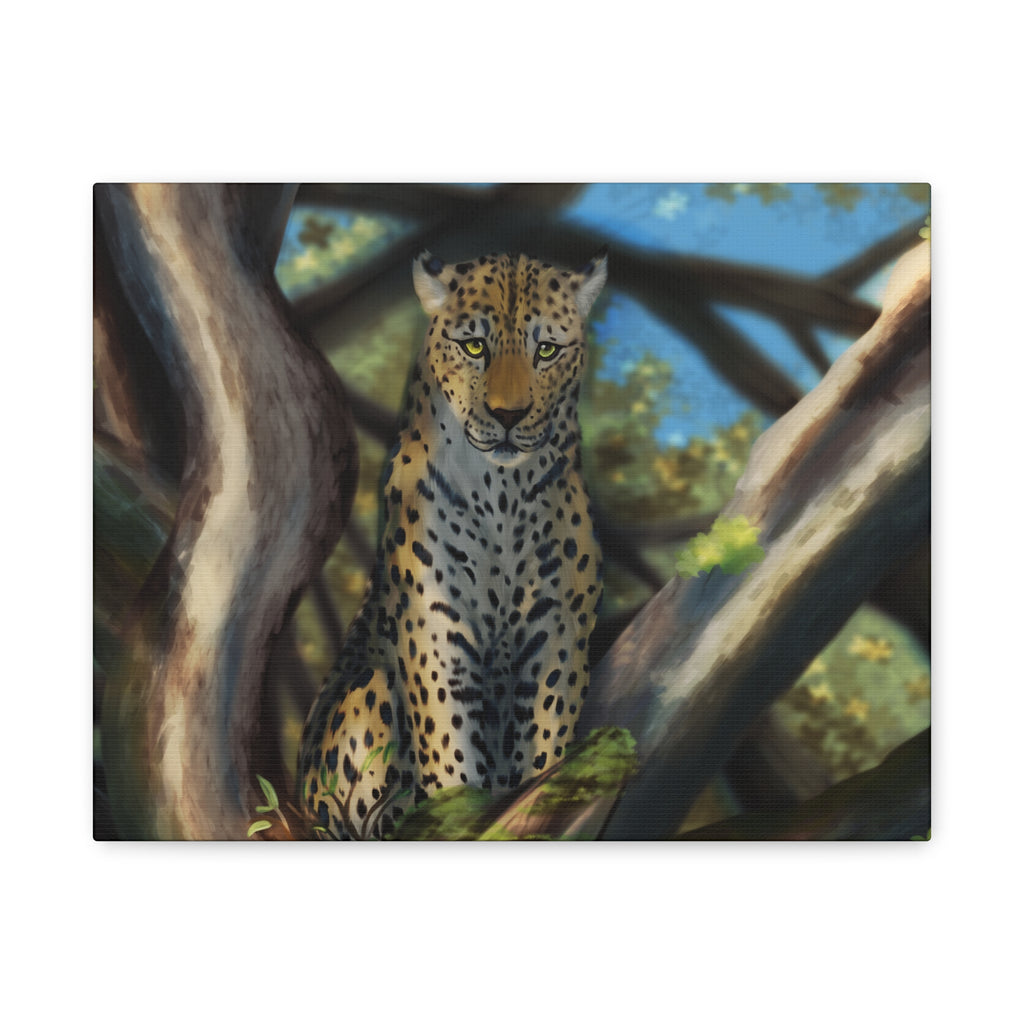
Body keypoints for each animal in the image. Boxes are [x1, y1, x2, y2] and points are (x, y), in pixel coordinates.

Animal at [298, 248, 608, 839]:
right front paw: (460, 811)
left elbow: (546, 741)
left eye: (547, 350)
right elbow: (450, 748)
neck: (503, 493)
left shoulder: (557, 631)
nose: (508, 415)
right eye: (474, 346)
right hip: (366, 696)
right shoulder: (436, 628)